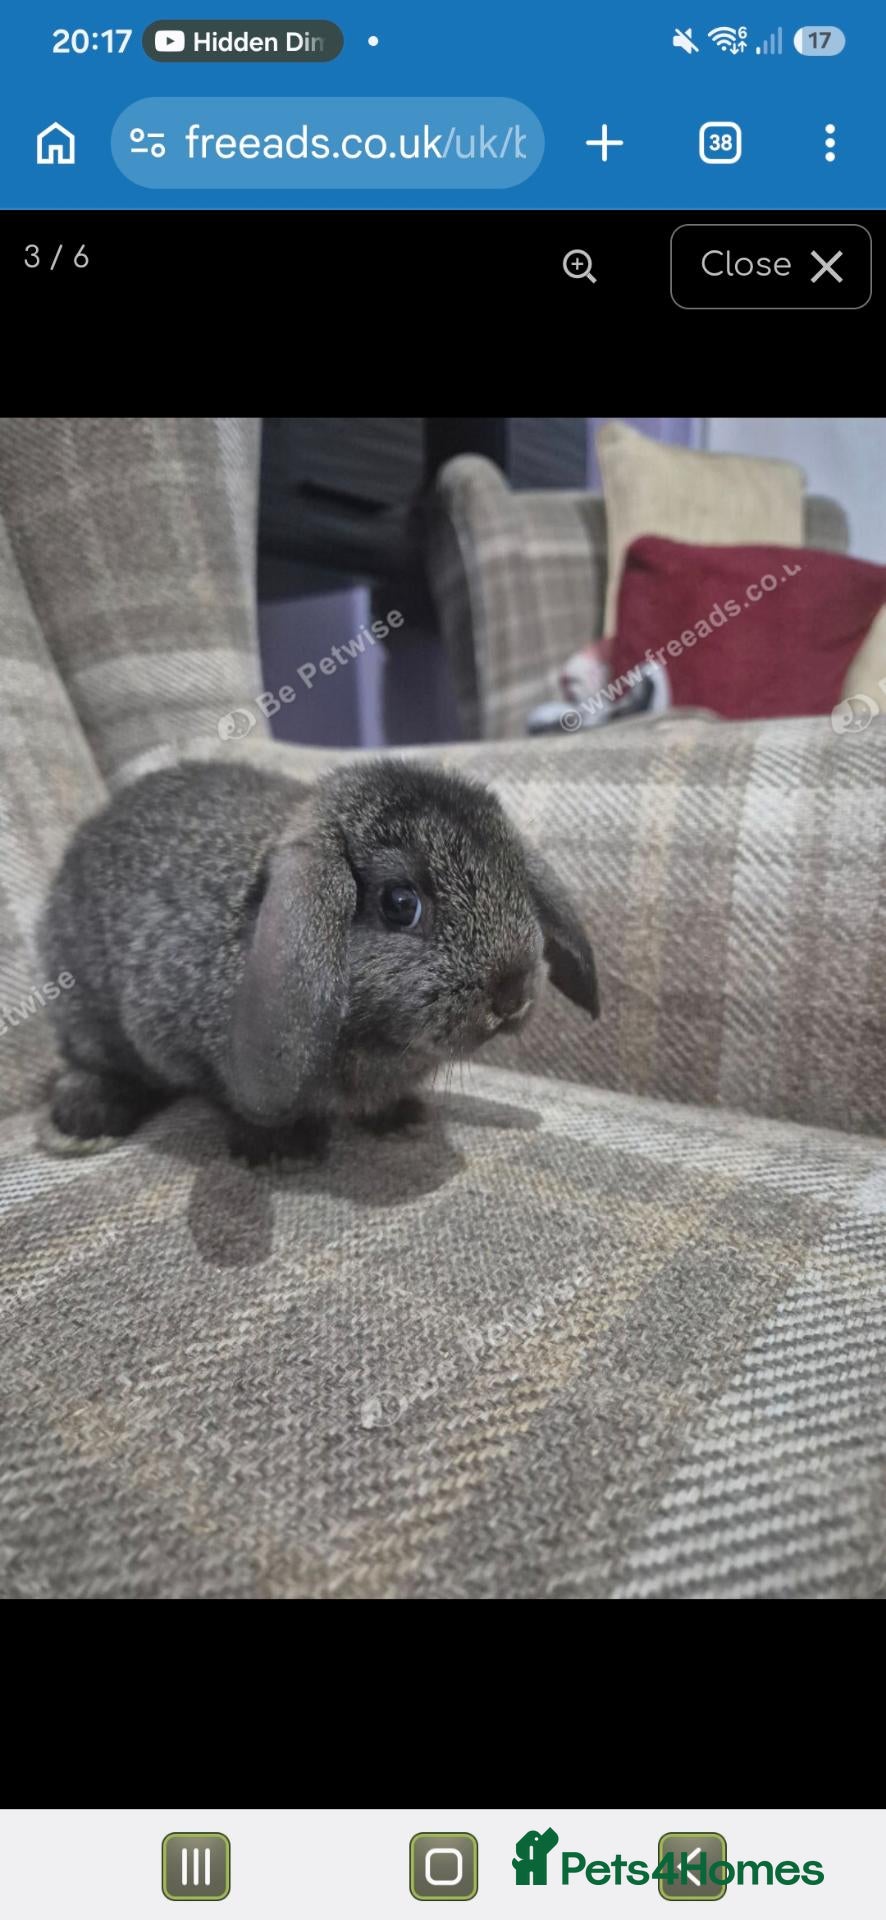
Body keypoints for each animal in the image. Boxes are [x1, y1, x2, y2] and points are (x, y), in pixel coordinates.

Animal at [39, 758, 599, 1164]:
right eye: (400, 903)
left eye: (516, 879)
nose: (512, 993)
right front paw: (278, 1150)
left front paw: (401, 1118)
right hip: (84, 1010)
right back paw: (84, 1120)